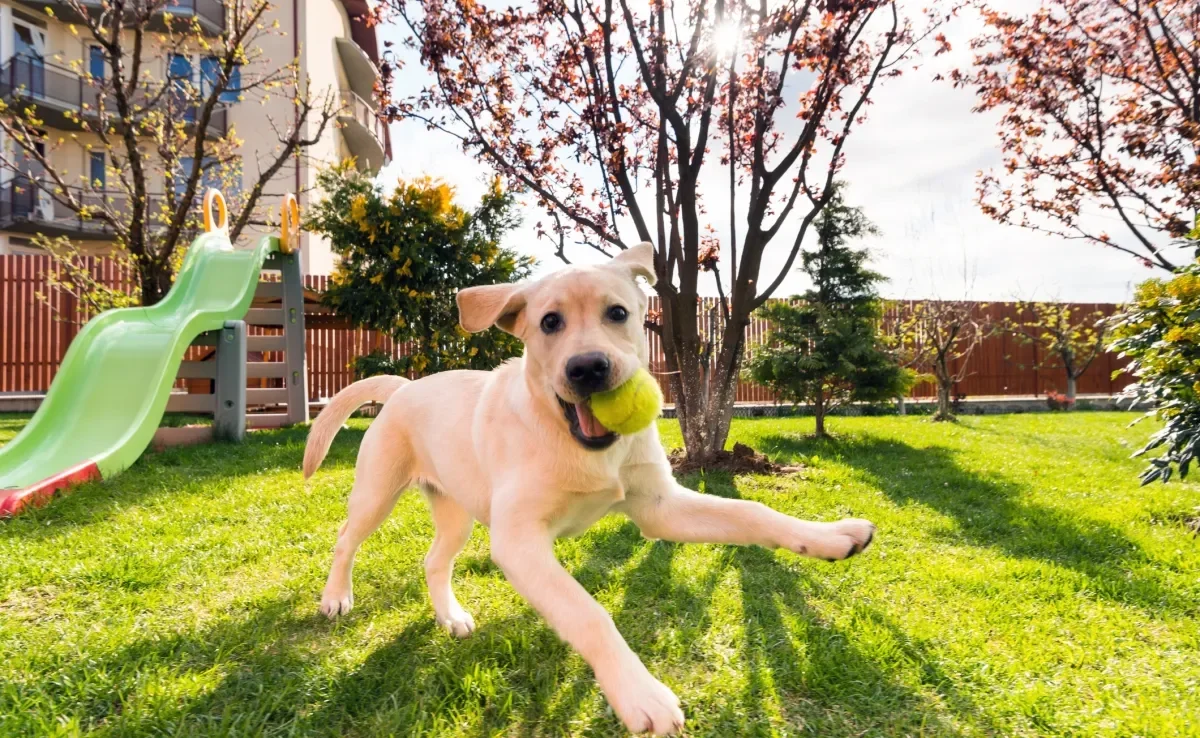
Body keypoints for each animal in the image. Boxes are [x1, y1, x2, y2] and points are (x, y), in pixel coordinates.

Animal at [304, 242, 878, 734]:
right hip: (377, 494)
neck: (576, 442)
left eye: (618, 314)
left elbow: (752, 512)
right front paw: (639, 693)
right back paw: (336, 598)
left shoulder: (659, 507)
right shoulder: (518, 540)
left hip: (457, 513)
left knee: (433, 560)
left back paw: (451, 617)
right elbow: (589, 612)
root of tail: (404, 387)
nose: (588, 368)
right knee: (345, 540)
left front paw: (830, 536)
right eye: (549, 322)